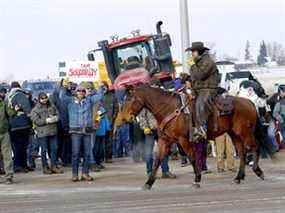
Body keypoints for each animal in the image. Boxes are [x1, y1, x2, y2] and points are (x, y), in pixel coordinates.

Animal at [121, 84, 272, 189]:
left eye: (130, 98)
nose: (125, 118)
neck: (169, 109)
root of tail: (250, 103)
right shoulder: (165, 140)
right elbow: (157, 161)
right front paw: (148, 183)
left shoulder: (183, 140)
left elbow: (192, 158)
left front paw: (197, 179)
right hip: (234, 134)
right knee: (242, 153)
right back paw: (239, 177)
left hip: (245, 133)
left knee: (255, 147)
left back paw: (258, 171)